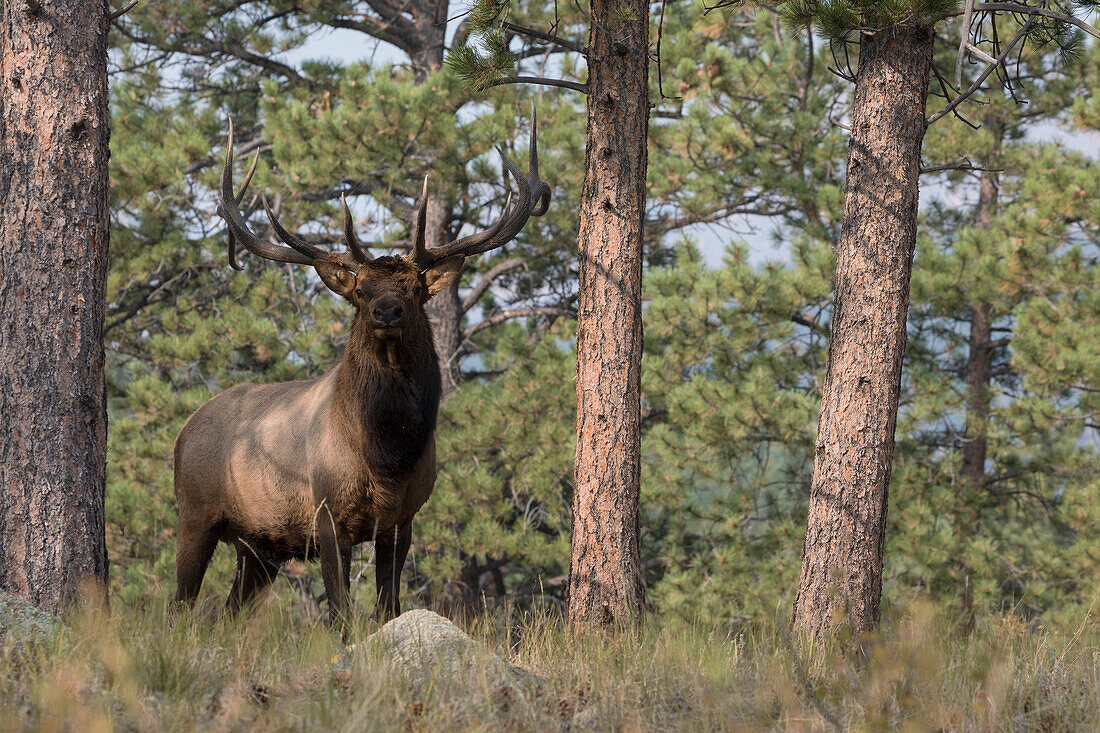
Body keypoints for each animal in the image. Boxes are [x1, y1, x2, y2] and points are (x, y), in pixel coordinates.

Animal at [172, 114, 550, 620]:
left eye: (414, 288)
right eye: (361, 290)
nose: (386, 311)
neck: (387, 459)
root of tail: (184, 430)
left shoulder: (403, 519)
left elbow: (388, 606)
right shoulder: (327, 516)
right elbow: (340, 614)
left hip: (260, 545)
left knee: (228, 613)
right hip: (194, 514)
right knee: (179, 606)